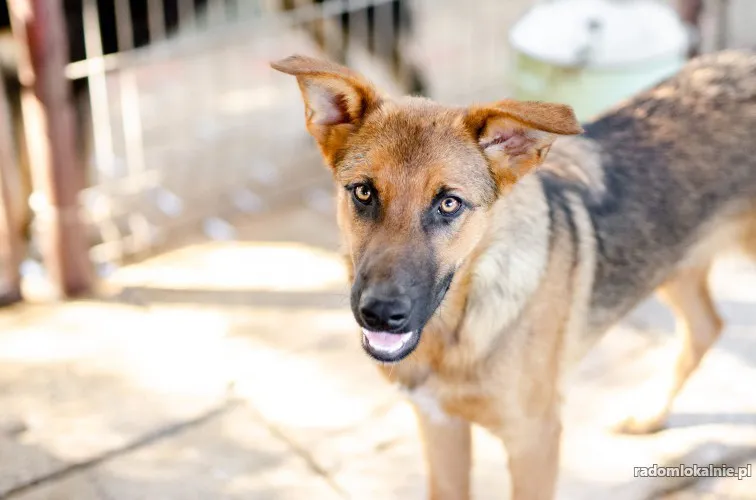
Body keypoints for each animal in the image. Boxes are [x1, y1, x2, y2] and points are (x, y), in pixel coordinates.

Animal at [272, 51, 756, 500]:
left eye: (449, 203)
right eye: (363, 192)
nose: (380, 314)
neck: (457, 331)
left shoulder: (534, 441)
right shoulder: (440, 425)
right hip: (676, 263)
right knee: (706, 327)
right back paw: (650, 414)